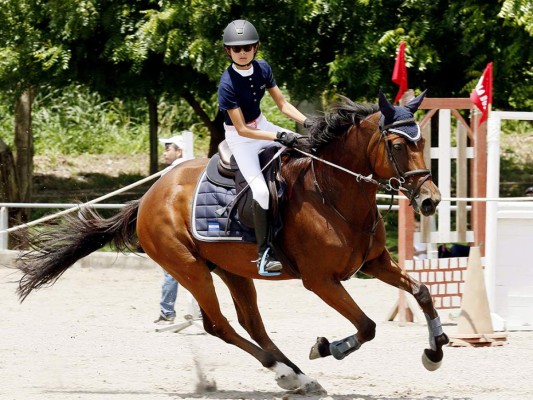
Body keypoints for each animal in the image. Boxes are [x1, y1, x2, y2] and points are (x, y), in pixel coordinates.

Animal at [14, 90, 446, 394]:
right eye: (396, 145)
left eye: (423, 143)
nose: (430, 200)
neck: (334, 192)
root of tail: (151, 194)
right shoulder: (321, 280)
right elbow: (367, 326)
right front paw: (328, 348)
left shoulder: (374, 263)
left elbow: (423, 291)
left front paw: (435, 350)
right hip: (189, 268)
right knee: (218, 324)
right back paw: (288, 373)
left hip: (232, 270)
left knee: (252, 324)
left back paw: (299, 378)